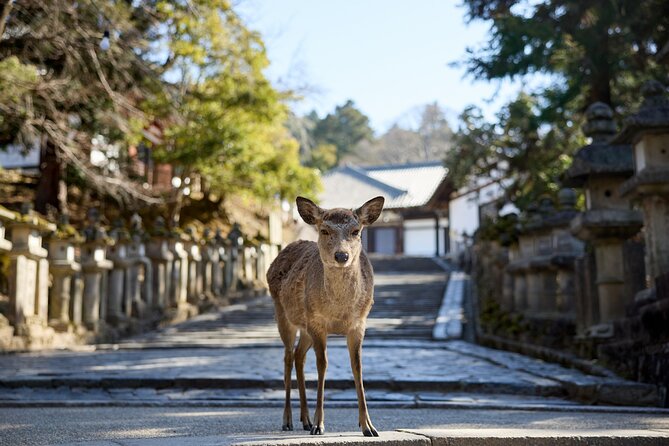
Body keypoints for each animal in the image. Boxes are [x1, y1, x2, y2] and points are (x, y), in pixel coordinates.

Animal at [266, 196, 385, 437]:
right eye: (324, 230)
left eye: (356, 231)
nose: (342, 255)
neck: (339, 310)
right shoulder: (317, 323)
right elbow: (322, 365)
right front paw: (319, 425)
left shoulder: (359, 324)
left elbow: (357, 367)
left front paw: (368, 426)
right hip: (283, 315)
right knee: (288, 358)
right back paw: (288, 420)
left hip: (305, 327)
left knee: (299, 356)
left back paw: (305, 419)